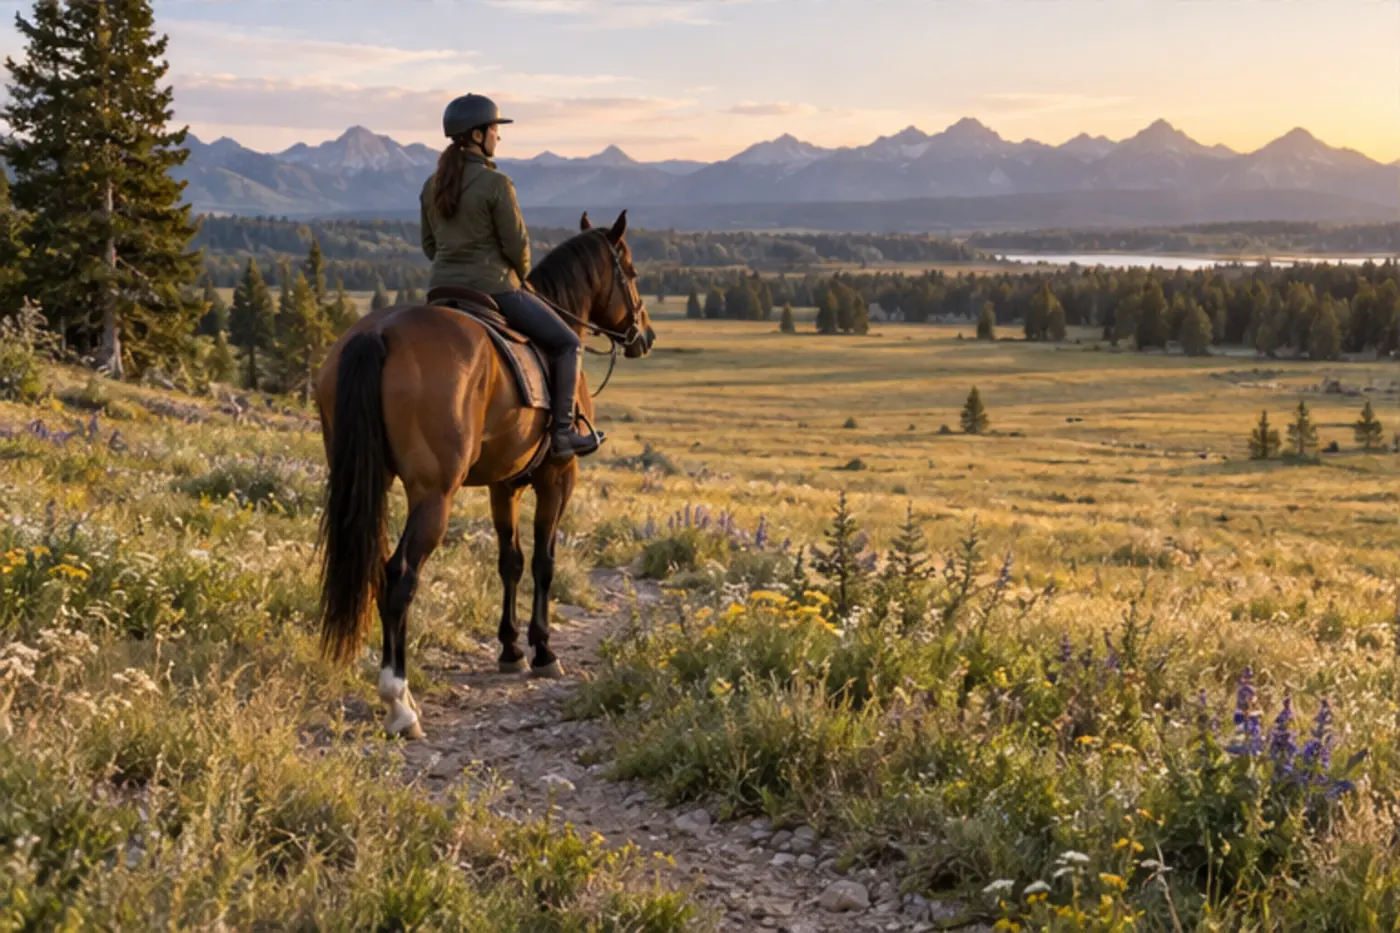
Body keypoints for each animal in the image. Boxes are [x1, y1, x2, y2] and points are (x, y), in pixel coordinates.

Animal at [314, 210, 653, 739]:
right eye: (631, 273)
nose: (645, 335)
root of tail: (380, 332)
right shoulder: (558, 476)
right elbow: (543, 562)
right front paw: (543, 650)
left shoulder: (503, 484)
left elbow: (509, 561)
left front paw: (511, 649)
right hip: (434, 494)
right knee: (399, 576)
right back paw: (399, 702)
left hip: (365, 481)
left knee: (375, 568)